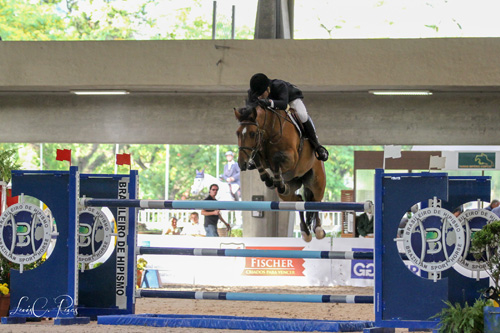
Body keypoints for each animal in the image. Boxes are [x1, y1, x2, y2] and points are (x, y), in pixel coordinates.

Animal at [235, 102, 328, 241]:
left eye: (252, 133)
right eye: (237, 133)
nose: (242, 164)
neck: (270, 131)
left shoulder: (292, 158)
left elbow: (276, 158)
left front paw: (275, 180)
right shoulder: (260, 154)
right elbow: (258, 160)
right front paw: (269, 179)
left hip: (316, 182)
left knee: (315, 201)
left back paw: (318, 230)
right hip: (289, 190)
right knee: (298, 200)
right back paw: (305, 232)